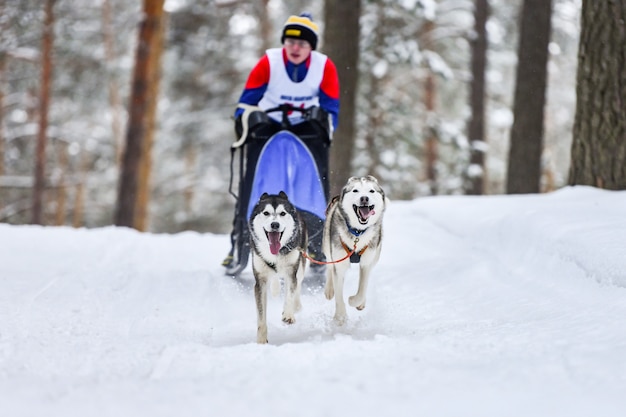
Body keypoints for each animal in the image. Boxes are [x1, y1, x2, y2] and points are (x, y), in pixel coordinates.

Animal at [249, 190, 308, 342]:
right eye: (266, 213)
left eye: (282, 213)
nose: (275, 224)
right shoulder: (260, 281)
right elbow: (261, 317)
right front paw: (261, 341)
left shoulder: (291, 272)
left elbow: (290, 293)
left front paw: (288, 314)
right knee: (275, 277)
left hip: (301, 265)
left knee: (297, 284)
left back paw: (296, 306)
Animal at [322, 174, 386, 324]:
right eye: (355, 190)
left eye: (371, 191)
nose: (364, 198)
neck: (357, 233)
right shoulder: (339, 263)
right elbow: (339, 295)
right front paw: (340, 316)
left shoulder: (366, 263)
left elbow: (362, 290)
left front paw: (354, 301)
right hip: (328, 246)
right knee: (329, 266)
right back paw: (329, 289)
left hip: (375, 256)